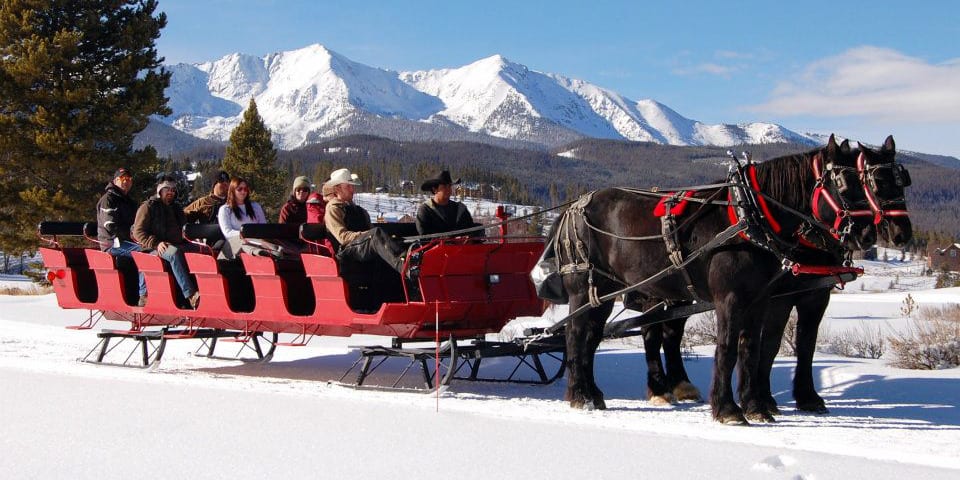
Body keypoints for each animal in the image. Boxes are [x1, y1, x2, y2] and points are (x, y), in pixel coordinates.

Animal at [552, 135, 872, 424]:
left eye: (866, 182)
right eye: (843, 184)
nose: (867, 233)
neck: (749, 215)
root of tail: (573, 207)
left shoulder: (760, 299)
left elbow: (750, 348)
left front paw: (755, 407)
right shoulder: (730, 298)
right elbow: (727, 349)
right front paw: (728, 409)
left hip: (605, 291)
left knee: (592, 337)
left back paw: (593, 393)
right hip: (584, 288)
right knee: (575, 334)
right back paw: (579, 395)